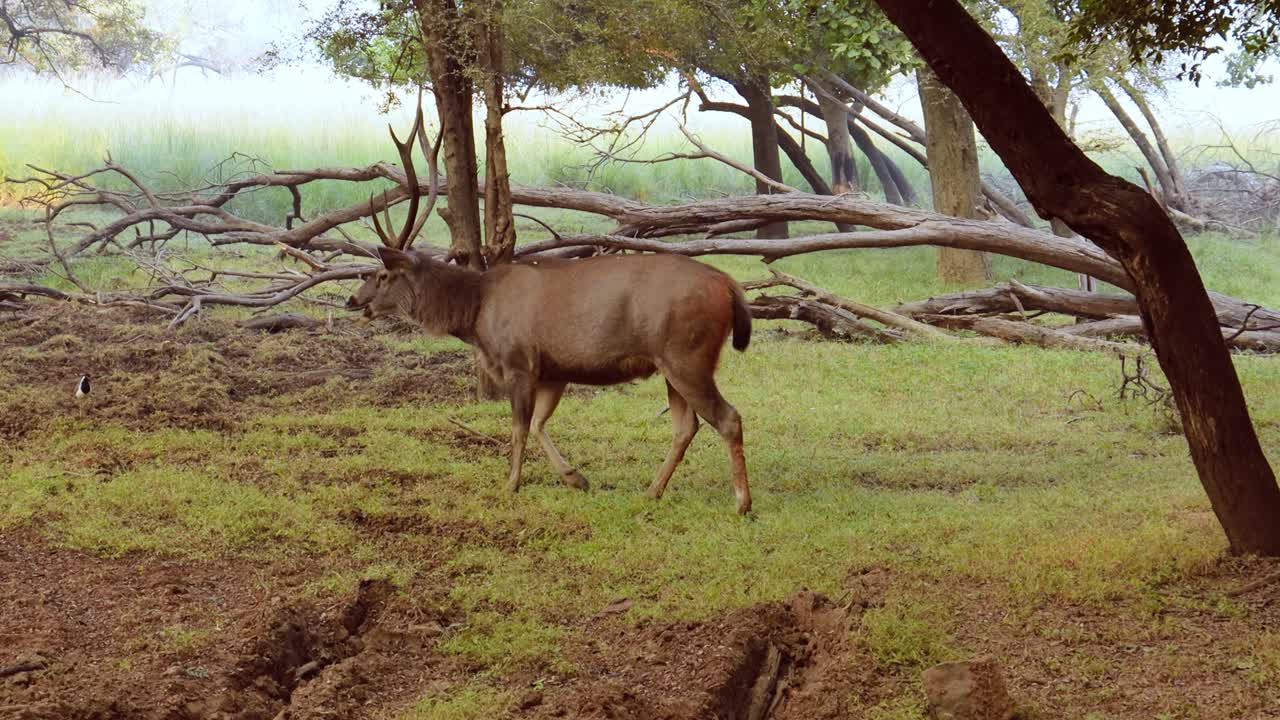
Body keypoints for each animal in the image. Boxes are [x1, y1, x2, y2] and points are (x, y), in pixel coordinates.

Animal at [346, 111, 754, 514]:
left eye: (382, 275)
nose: (352, 301)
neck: (477, 313)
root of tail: (729, 285)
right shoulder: (554, 370)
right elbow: (541, 423)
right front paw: (576, 478)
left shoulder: (519, 360)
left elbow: (519, 427)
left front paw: (510, 484)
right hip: (671, 362)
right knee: (686, 426)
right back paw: (652, 491)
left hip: (688, 353)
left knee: (728, 417)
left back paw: (741, 503)